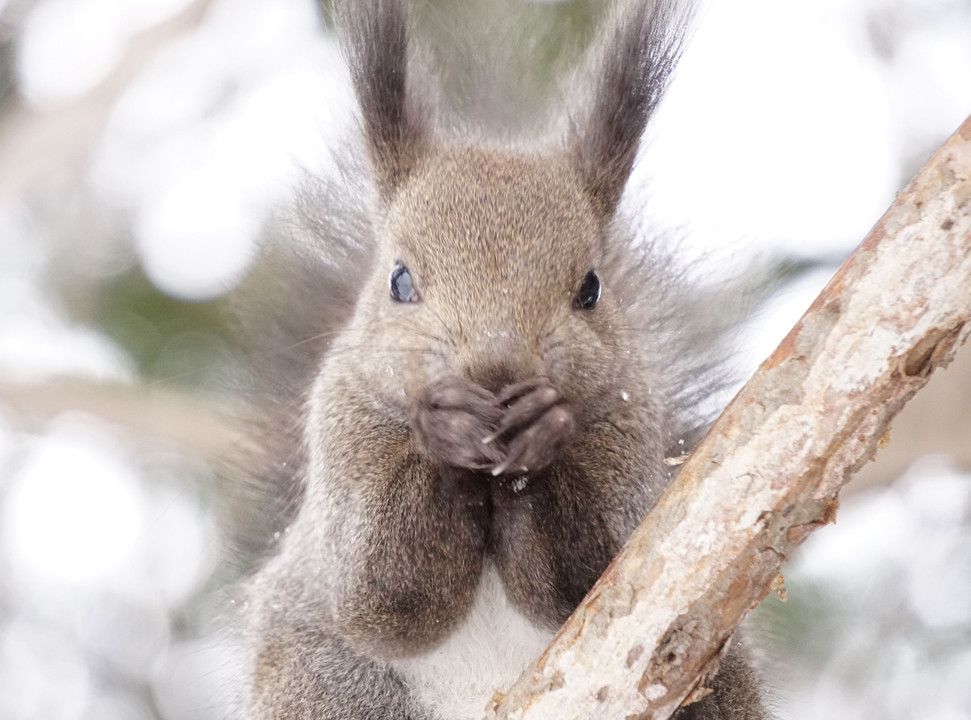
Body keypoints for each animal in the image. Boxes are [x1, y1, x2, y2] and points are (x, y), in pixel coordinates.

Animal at [243, 1, 776, 720]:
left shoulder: (631, 448)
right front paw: (445, 429)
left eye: (591, 288)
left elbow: (601, 583)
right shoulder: (341, 431)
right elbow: (377, 594)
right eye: (399, 280)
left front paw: (541, 430)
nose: (496, 370)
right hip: (323, 679)